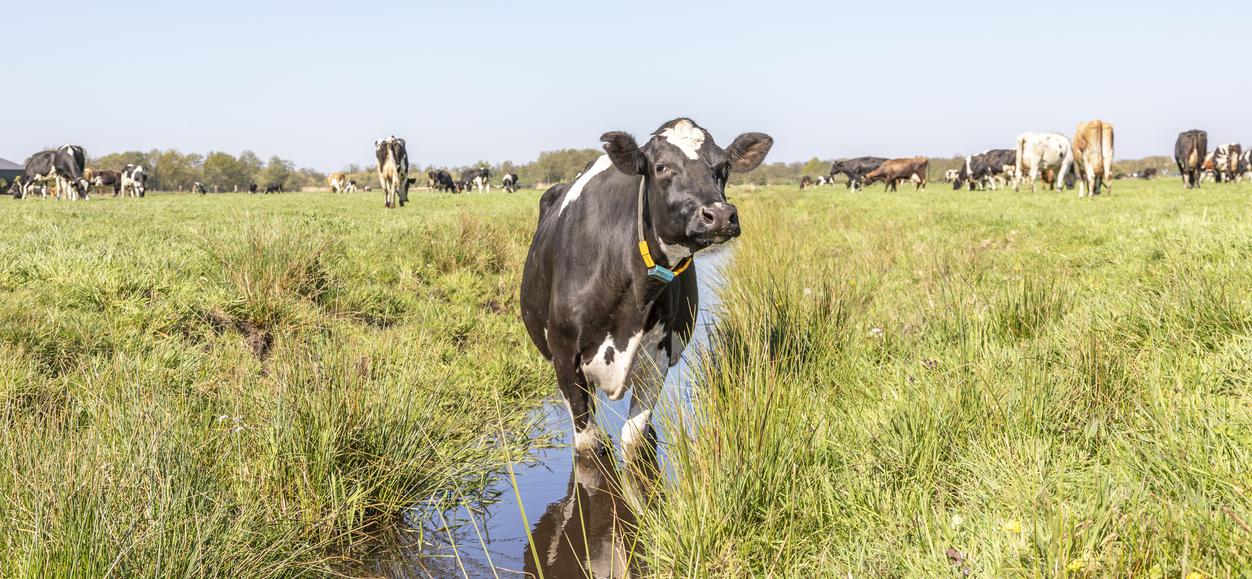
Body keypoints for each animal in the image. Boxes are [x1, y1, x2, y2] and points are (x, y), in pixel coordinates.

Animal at [518, 117, 771, 458]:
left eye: (724, 166)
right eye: (661, 167)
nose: (719, 215)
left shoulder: (658, 358)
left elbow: (635, 439)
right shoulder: (565, 357)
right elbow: (588, 446)